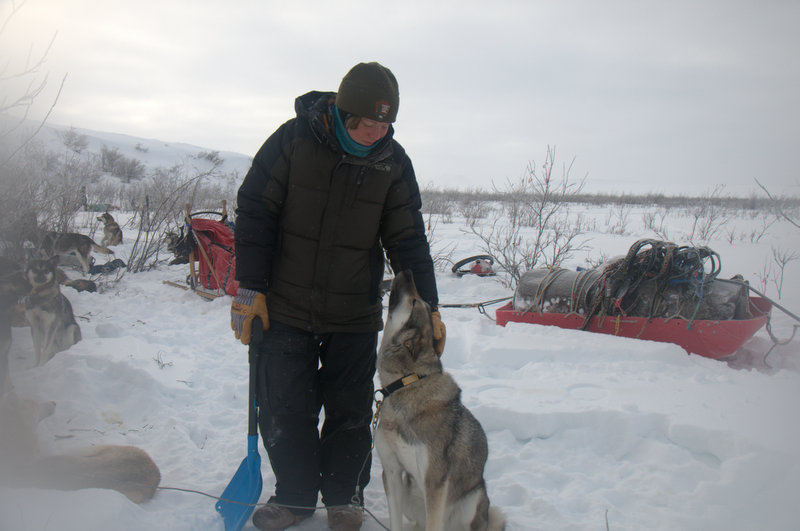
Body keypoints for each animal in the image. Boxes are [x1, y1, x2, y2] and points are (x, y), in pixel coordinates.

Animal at [376, 272, 506, 528]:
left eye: (416, 302)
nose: (407, 271)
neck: (406, 384)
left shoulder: (434, 483)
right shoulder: (392, 472)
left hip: (473, 499)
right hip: (410, 496)